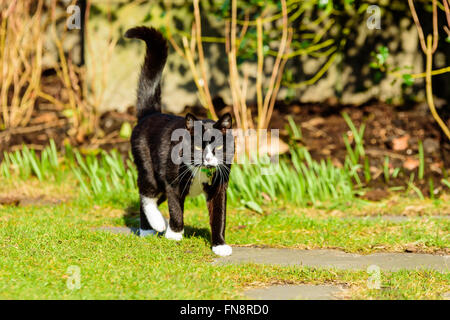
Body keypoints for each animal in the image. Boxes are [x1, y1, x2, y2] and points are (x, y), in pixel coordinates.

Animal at [125, 27, 234, 258]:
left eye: (219, 147)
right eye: (198, 146)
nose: (209, 160)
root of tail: (151, 113)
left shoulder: (220, 185)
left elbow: (219, 215)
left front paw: (219, 245)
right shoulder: (173, 181)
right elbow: (175, 208)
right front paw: (174, 234)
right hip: (148, 165)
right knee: (146, 193)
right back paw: (153, 226)